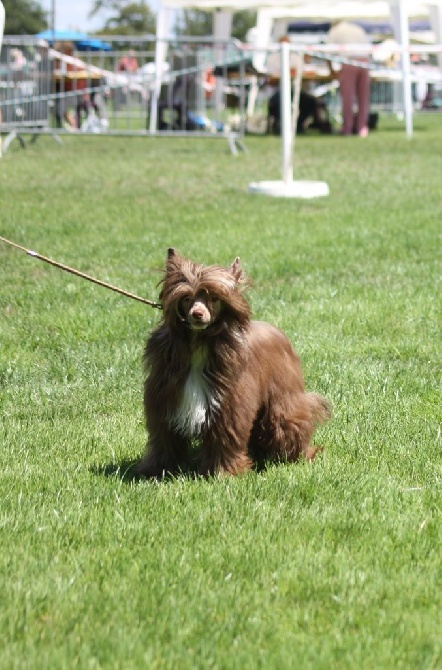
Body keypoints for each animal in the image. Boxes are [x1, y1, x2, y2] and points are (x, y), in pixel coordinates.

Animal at [136, 249, 330, 480]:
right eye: (187, 298)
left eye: (214, 298)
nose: (197, 314)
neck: (199, 343)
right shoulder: (165, 402)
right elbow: (164, 440)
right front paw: (159, 471)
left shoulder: (229, 405)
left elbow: (225, 439)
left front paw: (224, 473)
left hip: (284, 399)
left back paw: (297, 455)